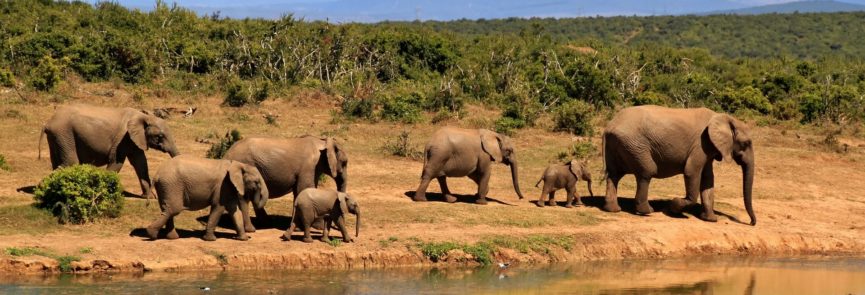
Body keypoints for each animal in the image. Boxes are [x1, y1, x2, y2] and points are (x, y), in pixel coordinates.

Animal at [40, 104, 179, 199]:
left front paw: (149, 197)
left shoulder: (135, 140)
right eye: (160, 136)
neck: (145, 116)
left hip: (57, 137)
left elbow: (141, 164)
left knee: (58, 162)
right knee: (70, 162)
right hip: (64, 134)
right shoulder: (123, 138)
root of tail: (48, 122)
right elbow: (117, 162)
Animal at [600, 105, 756, 225]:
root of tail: (609, 127)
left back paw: (613, 209)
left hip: (620, 145)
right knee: (647, 172)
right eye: (746, 143)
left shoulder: (708, 148)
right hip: (634, 145)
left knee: (614, 175)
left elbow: (708, 180)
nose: (751, 223)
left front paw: (710, 219)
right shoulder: (701, 144)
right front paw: (673, 207)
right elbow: (691, 172)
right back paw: (647, 211)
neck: (723, 117)